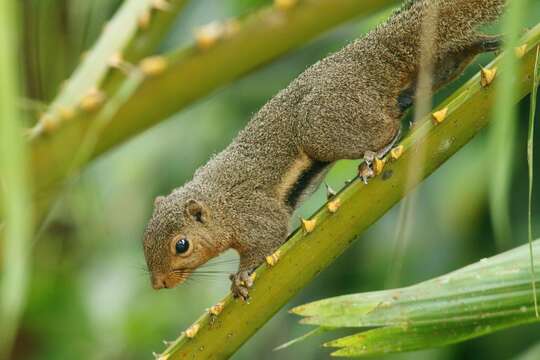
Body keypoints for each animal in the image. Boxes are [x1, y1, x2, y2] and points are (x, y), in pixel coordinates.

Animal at [144, 0, 506, 300]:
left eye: (181, 245)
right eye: (144, 241)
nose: (159, 284)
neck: (217, 203)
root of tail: (368, 53)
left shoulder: (252, 212)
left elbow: (270, 236)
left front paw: (241, 278)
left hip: (323, 126)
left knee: (390, 126)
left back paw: (375, 155)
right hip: (421, 73)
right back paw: (484, 43)